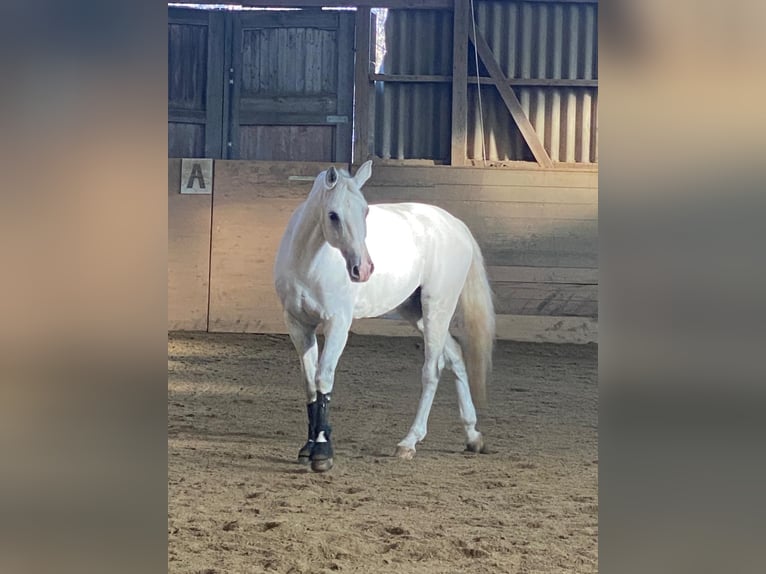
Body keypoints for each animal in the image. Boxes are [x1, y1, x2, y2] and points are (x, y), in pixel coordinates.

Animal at [273, 160, 495, 472]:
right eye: (333, 215)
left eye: (365, 210)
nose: (363, 269)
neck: (308, 261)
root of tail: (454, 225)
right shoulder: (298, 325)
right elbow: (309, 385)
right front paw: (308, 447)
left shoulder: (337, 324)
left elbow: (323, 378)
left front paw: (322, 452)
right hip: (416, 312)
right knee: (455, 356)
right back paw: (472, 435)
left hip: (437, 307)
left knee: (432, 370)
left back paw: (409, 442)